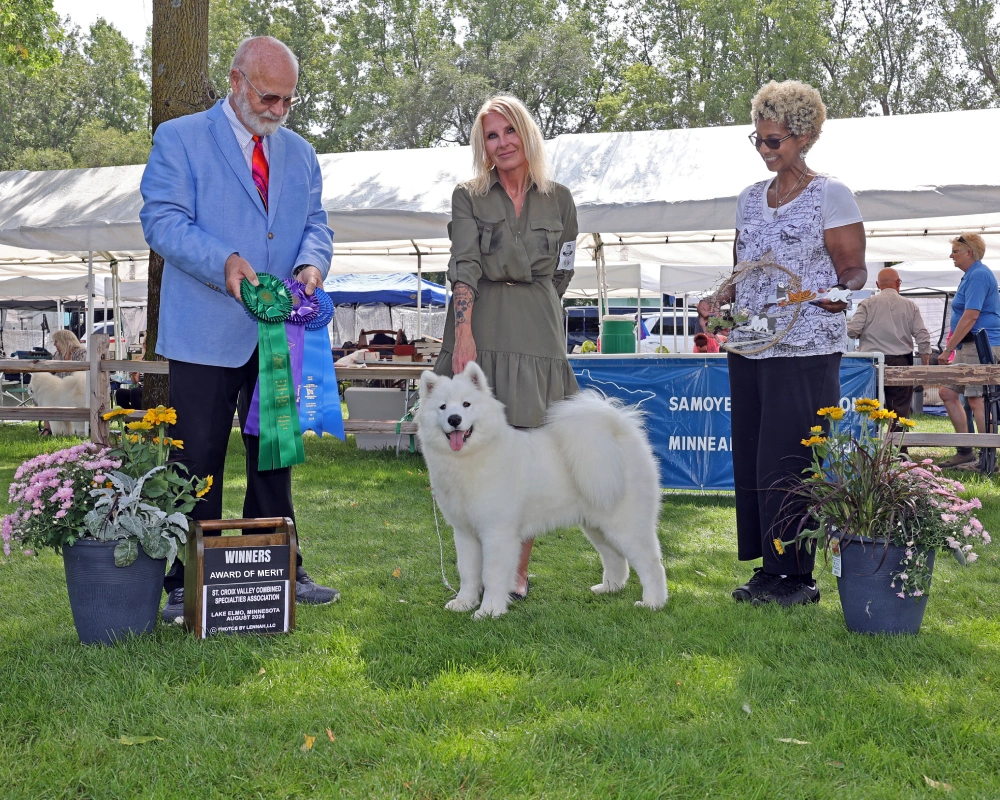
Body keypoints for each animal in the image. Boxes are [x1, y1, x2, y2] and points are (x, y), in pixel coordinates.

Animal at [418, 362, 668, 620]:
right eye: (442, 407)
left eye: (466, 404)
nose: (454, 419)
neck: (470, 459)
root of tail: (620, 432)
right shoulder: (465, 533)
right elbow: (467, 572)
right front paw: (464, 603)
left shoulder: (497, 533)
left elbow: (492, 575)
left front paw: (489, 610)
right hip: (597, 526)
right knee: (615, 558)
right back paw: (609, 588)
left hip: (626, 526)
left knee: (652, 564)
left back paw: (652, 603)